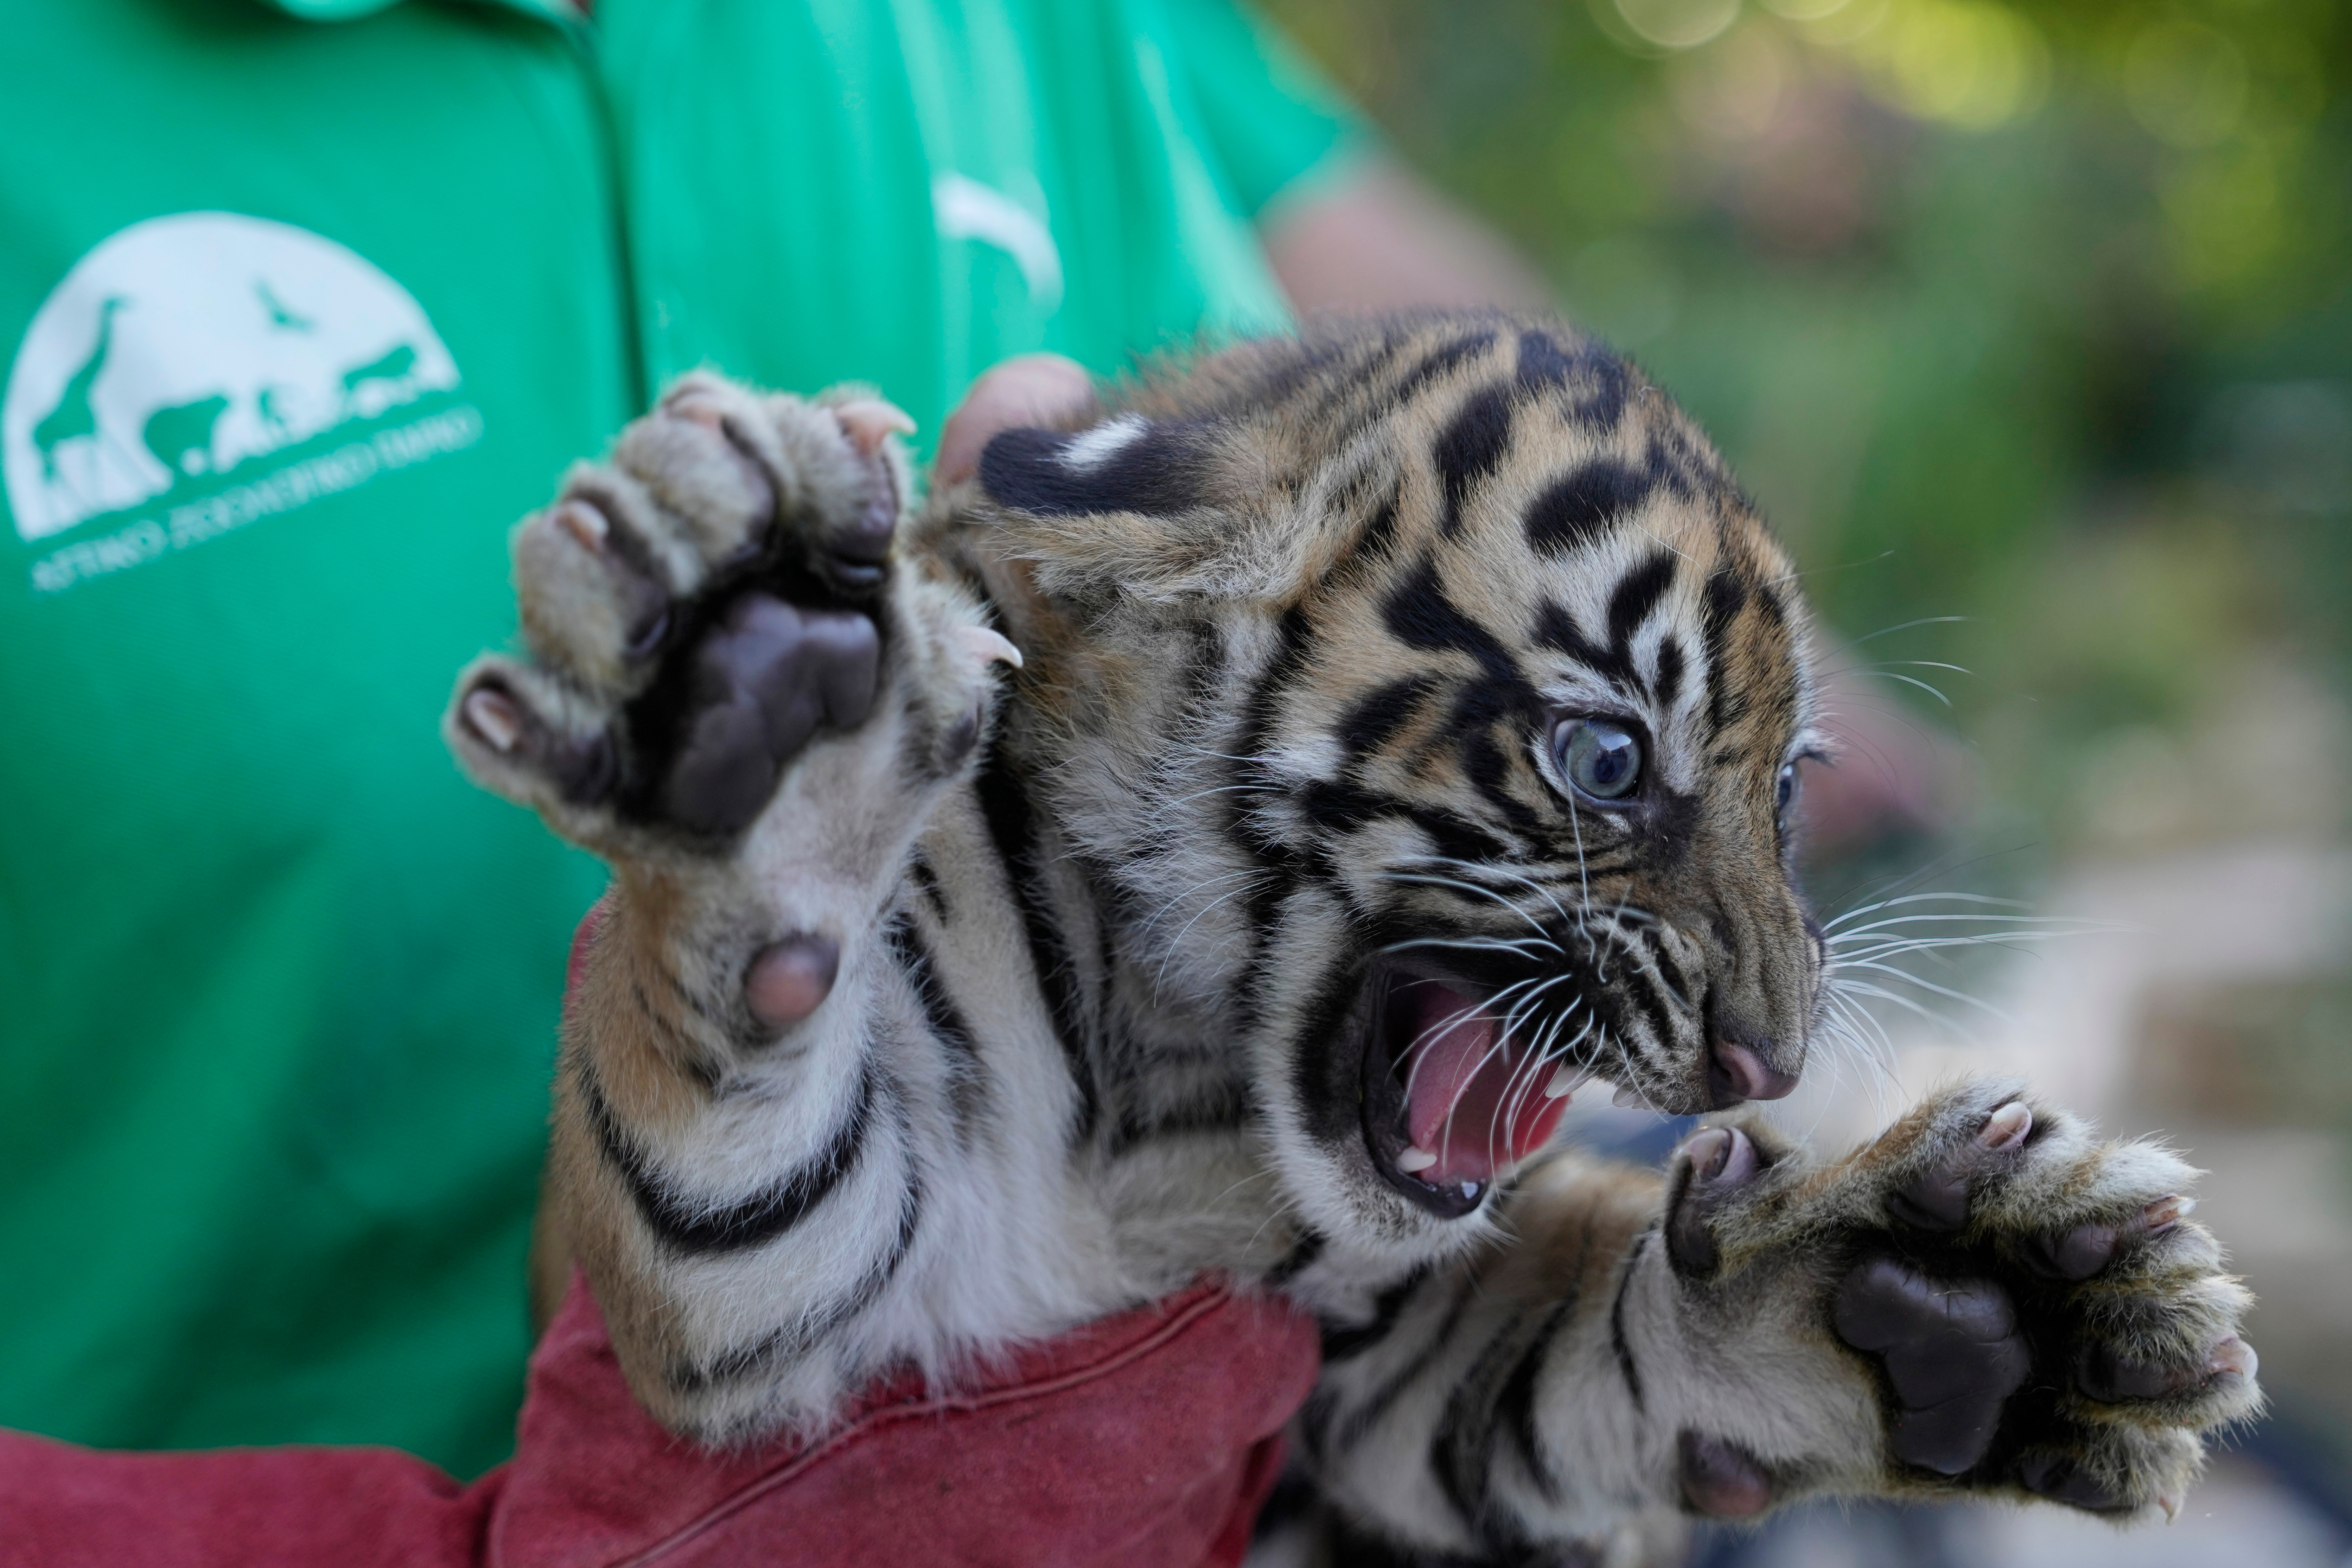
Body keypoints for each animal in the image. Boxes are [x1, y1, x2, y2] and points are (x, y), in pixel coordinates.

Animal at [444, 314, 2258, 1563]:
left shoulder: (1380, 1360)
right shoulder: (751, 1295)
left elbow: (1602, 1343)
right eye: (1606, 759)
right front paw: (755, 663)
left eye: (1791, 786)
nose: (1769, 1056)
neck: (1169, 1091)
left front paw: (1972, 1297)